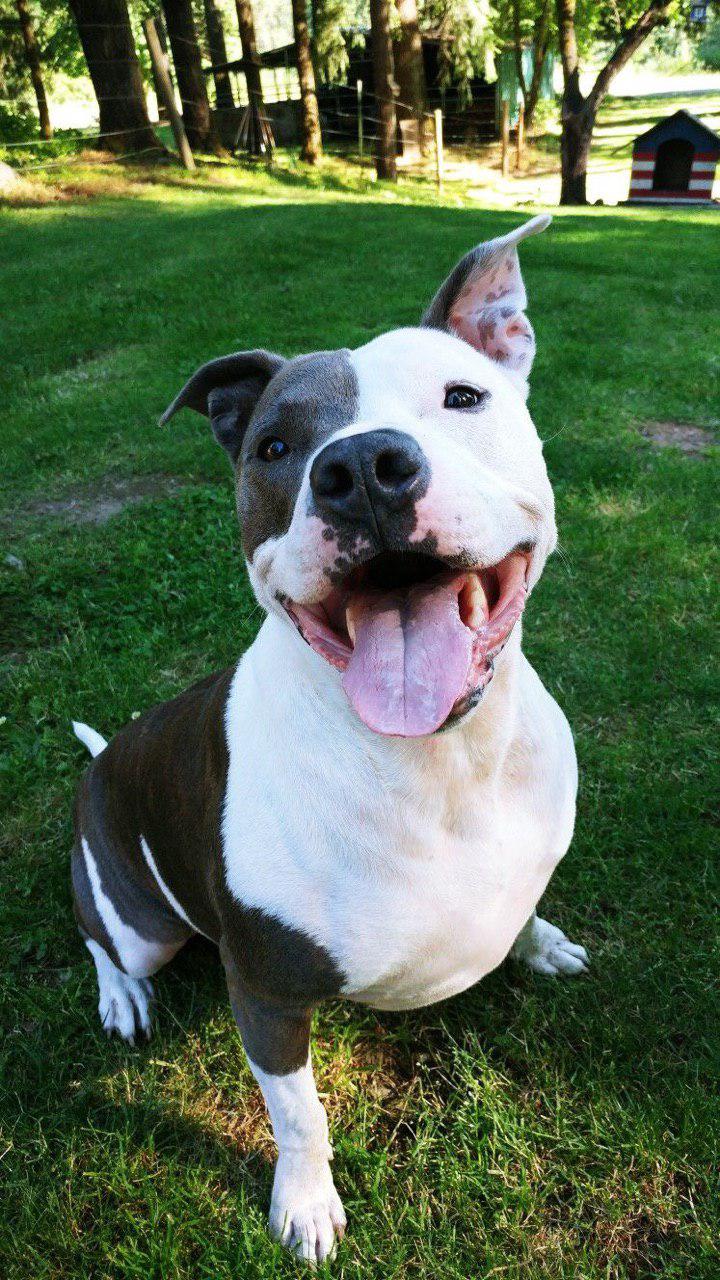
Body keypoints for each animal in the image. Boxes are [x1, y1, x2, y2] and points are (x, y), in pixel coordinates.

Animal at [73, 215, 586, 1264]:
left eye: (463, 397)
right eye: (275, 444)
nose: (363, 470)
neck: (441, 765)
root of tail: (101, 764)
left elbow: (524, 913)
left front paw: (541, 940)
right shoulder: (266, 996)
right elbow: (300, 1116)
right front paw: (305, 1205)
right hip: (136, 921)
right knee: (105, 940)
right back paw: (121, 998)